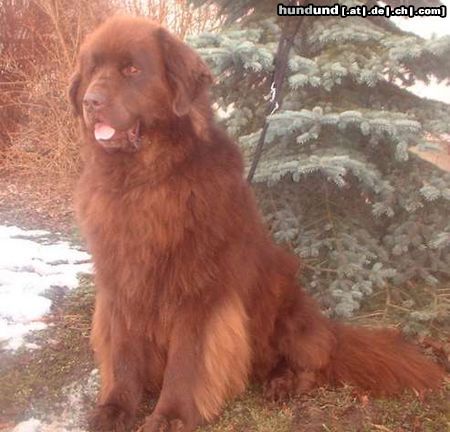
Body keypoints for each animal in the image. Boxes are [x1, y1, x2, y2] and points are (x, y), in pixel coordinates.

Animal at [69, 16, 442, 432]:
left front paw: (171, 417)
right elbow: (123, 354)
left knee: (314, 361)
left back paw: (283, 383)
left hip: (286, 307)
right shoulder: (121, 282)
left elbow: (187, 359)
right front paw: (114, 410)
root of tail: (330, 328)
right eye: (92, 70)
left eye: (132, 70)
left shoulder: (198, 288)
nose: (90, 102)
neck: (145, 180)